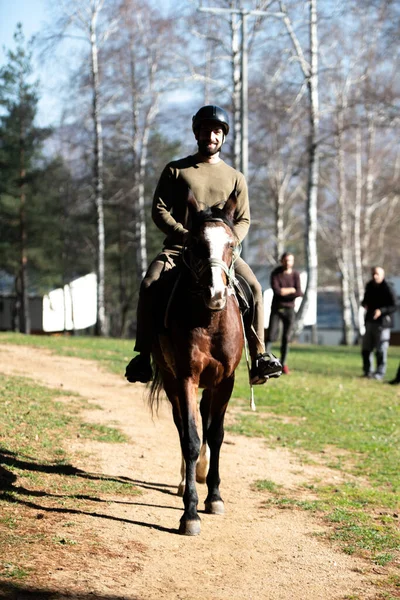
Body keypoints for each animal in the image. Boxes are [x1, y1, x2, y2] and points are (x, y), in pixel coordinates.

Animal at [150, 191, 244, 536]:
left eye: (230, 243)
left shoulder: (226, 380)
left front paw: (214, 496)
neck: (210, 320)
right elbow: (190, 438)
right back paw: (184, 481)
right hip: (172, 381)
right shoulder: (186, 378)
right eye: (196, 244)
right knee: (182, 427)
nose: (215, 292)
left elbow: (215, 435)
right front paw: (189, 513)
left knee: (205, 420)